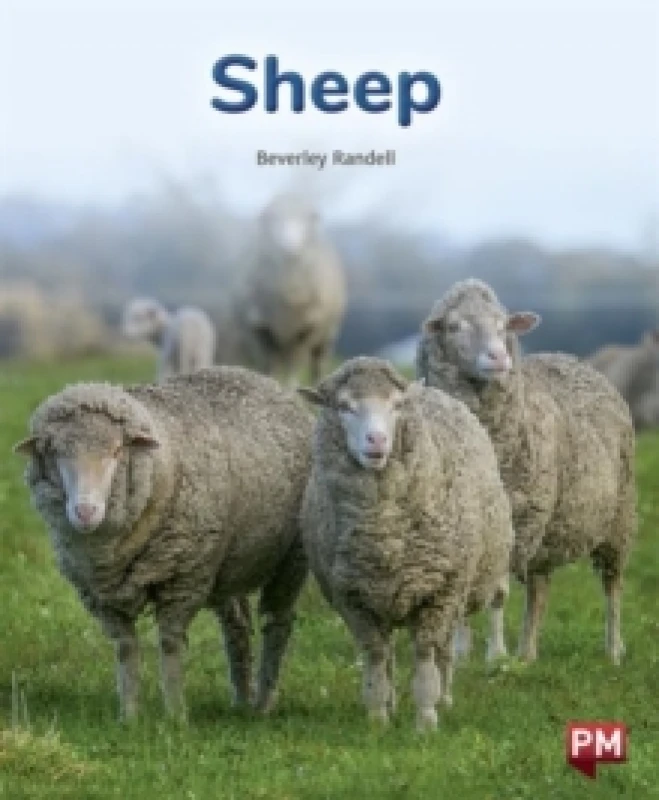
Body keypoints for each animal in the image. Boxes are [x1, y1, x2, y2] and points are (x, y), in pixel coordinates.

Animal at [13, 366, 313, 720]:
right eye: (55, 453)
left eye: (117, 450)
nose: (85, 511)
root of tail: (259, 377)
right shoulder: (102, 596)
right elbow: (126, 649)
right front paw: (129, 716)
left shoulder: (182, 581)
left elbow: (170, 644)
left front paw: (175, 715)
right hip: (226, 565)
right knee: (237, 624)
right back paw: (241, 699)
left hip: (289, 559)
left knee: (277, 622)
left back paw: (264, 703)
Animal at [235, 192, 346, 386]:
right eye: (271, 218)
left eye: (309, 218)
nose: (289, 247)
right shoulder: (260, 328)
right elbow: (269, 366)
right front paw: (270, 383)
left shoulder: (307, 328)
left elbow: (294, 368)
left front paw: (291, 388)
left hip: (328, 333)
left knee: (316, 364)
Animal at [298, 357, 513, 731]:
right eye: (344, 406)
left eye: (396, 406)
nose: (377, 440)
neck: (382, 532)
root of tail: (427, 389)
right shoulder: (354, 600)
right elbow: (375, 657)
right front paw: (377, 718)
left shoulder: (438, 594)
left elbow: (426, 657)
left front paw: (426, 719)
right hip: (388, 597)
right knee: (389, 654)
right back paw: (394, 702)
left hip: (456, 589)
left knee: (443, 650)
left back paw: (445, 698)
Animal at [416, 278, 637, 665]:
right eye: (454, 326)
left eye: (504, 325)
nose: (499, 357)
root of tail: (571, 358)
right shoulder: (470, 527)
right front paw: (460, 653)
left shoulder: (516, 525)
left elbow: (497, 594)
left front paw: (495, 655)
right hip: (546, 533)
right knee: (539, 591)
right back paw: (527, 653)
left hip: (616, 520)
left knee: (612, 587)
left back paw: (612, 650)